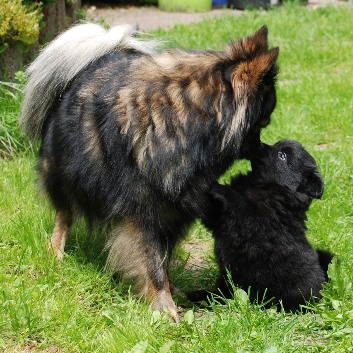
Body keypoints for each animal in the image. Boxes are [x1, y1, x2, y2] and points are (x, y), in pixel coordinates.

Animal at [20, 22, 280, 320]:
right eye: (262, 123)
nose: (262, 148)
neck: (183, 123)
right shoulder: (143, 211)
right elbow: (153, 264)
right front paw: (164, 308)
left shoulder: (174, 210)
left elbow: (163, 260)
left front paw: (172, 292)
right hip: (62, 171)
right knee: (64, 212)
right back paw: (56, 250)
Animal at [188, 139, 332, 310]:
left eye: (282, 155)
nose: (259, 144)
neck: (263, 185)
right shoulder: (219, 220)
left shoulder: (256, 222)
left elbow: (239, 202)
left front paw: (217, 186)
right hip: (228, 281)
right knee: (222, 293)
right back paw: (199, 295)